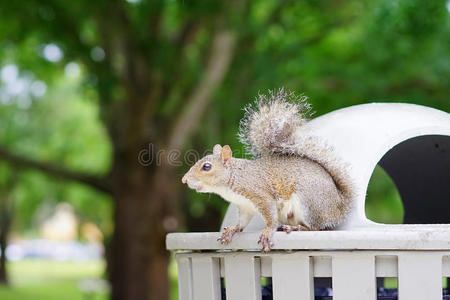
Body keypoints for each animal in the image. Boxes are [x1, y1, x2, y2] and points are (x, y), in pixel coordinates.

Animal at [180, 88, 356, 251]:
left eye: (206, 167)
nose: (184, 179)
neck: (233, 179)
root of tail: (339, 205)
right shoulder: (245, 206)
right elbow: (242, 222)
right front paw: (232, 230)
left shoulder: (261, 195)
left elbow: (271, 217)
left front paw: (267, 232)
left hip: (309, 202)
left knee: (315, 227)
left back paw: (296, 228)